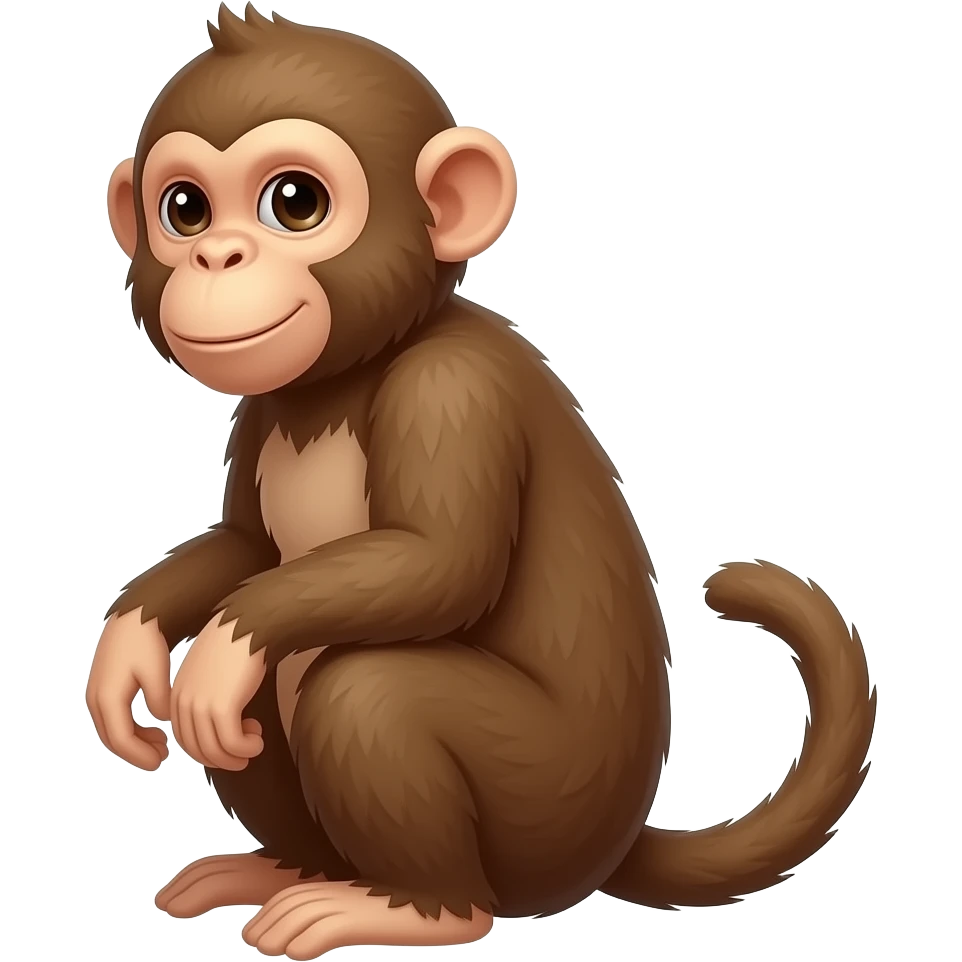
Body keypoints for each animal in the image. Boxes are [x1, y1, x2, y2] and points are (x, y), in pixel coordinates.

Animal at [89, 6, 877, 958]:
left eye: (295, 202)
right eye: (185, 209)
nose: (217, 257)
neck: (346, 378)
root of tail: (617, 843)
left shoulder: (453, 395)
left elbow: (440, 565)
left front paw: (224, 648)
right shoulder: (262, 413)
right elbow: (245, 548)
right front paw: (128, 646)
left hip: (546, 805)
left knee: (367, 692)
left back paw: (413, 906)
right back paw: (289, 868)